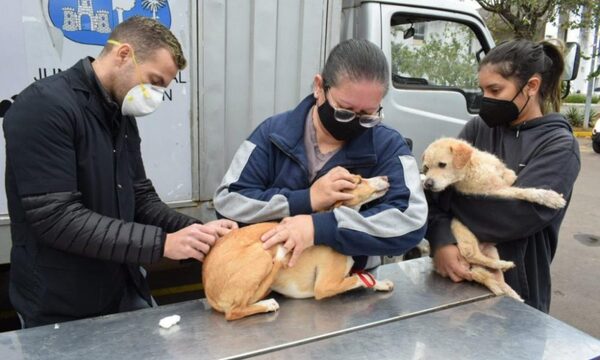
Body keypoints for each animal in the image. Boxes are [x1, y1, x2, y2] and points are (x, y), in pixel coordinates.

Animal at [203, 176, 394, 320]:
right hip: (263, 255)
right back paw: (267, 304)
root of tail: (209, 293)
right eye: (359, 180)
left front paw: (382, 283)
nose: (386, 177)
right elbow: (358, 279)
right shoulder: (324, 286)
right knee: (233, 312)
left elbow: (364, 276)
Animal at [420, 138, 564, 300]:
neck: (473, 168)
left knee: (497, 279)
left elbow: (509, 175)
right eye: (426, 168)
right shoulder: (496, 192)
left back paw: (511, 290)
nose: (427, 184)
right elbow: (523, 192)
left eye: (442, 164)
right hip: (460, 228)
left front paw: (511, 176)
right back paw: (503, 265)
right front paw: (550, 197)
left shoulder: (500, 177)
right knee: (471, 255)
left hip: (492, 250)